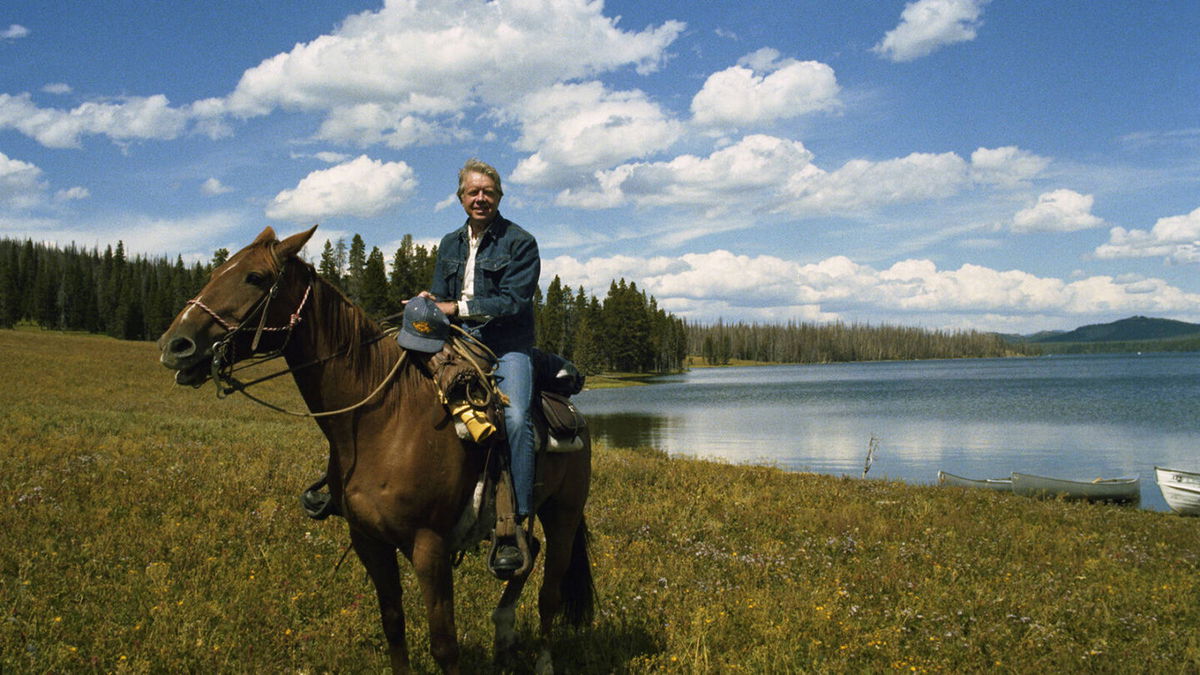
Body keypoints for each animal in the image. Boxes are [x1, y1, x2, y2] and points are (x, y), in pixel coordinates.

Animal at [154, 227, 595, 672]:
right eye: (216, 271)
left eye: (256, 277)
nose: (175, 345)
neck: (382, 420)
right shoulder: (369, 541)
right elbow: (393, 624)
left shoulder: (429, 546)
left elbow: (444, 644)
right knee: (526, 552)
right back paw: (503, 631)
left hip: (563, 512)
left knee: (549, 593)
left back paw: (542, 660)